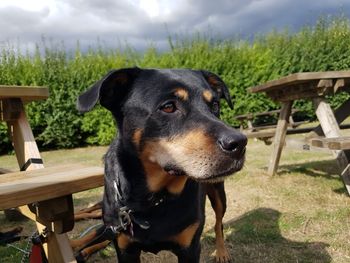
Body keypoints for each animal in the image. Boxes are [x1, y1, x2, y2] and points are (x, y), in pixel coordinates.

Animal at [76, 68, 246, 263]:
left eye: (215, 105)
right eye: (168, 106)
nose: (240, 143)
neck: (151, 199)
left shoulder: (190, 248)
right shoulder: (124, 247)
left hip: (218, 192)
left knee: (219, 222)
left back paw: (222, 252)